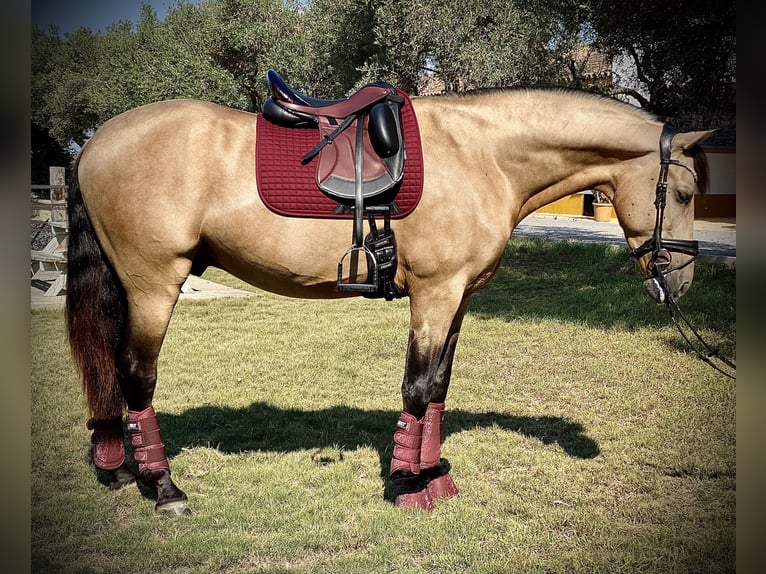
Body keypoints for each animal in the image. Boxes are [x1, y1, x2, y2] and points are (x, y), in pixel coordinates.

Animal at [66, 74, 712, 520]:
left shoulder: (459, 297)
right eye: (682, 192)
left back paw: (117, 469)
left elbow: (439, 388)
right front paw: (406, 485)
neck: (483, 156)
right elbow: (417, 387)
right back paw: (163, 487)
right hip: (153, 283)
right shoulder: (435, 293)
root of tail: (95, 143)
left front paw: (434, 475)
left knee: (109, 370)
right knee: (135, 374)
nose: (679, 283)